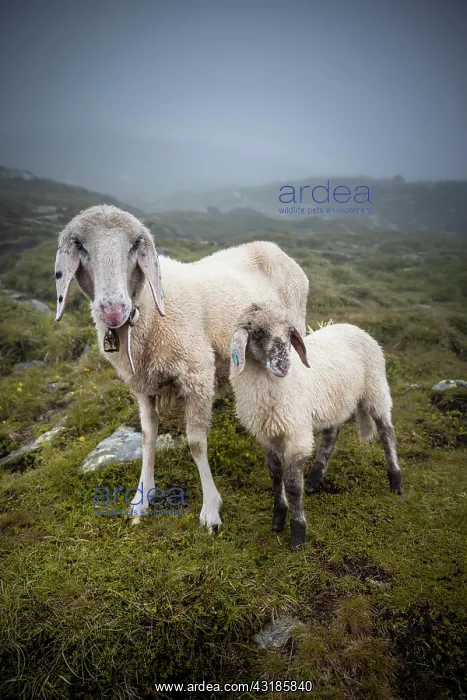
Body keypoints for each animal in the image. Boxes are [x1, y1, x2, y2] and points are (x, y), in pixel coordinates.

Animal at [54, 205, 308, 529]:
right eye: (81, 246)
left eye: (134, 246)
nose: (112, 309)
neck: (147, 310)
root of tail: (272, 248)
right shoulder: (142, 386)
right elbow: (147, 437)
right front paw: (142, 499)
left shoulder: (196, 374)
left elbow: (196, 443)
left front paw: (211, 508)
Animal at [229, 304, 403, 550]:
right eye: (258, 333)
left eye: (288, 334)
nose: (284, 366)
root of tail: (352, 326)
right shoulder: (267, 435)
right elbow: (275, 475)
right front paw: (278, 519)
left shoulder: (297, 433)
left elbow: (292, 483)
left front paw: (298, 533)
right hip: (336, 401)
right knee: (332, 433)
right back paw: (314, 479)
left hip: (375, 389)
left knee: (387, 432)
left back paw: (395, 480)